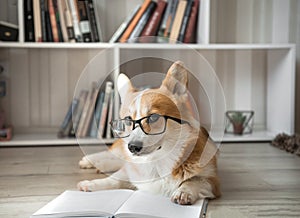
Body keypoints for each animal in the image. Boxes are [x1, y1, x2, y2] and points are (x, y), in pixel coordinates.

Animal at [77, 61, 220, 204]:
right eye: (128, 119)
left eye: (153, 117)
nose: (133, 147)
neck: (155, 161)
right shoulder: (130, 170)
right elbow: (113, 179)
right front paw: (90, 184)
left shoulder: (212, 182)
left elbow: (193, 181)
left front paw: (183, 192)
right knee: (113, 154)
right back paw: (88, 161)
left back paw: (100, 165)